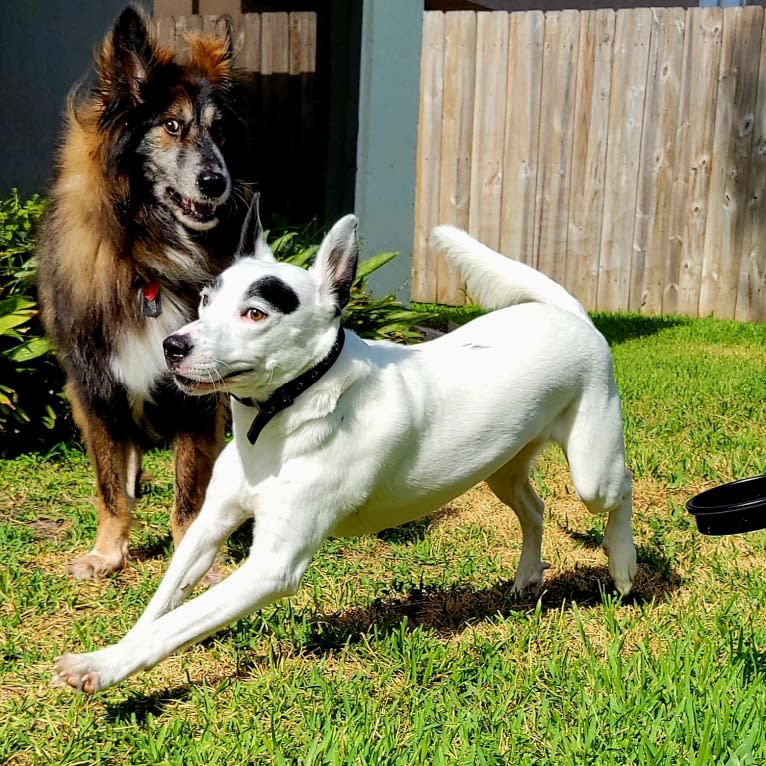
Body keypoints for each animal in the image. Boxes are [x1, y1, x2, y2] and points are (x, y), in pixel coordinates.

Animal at [38, 6, 249, 580]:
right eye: (172, 126)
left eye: (219, 133)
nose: (217, 181)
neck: (146, 256)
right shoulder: (94, 386)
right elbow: (109, 484)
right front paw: (108, 551)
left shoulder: (198, 397)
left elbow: (189, 492)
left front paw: (193, 557)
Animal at [54, 201, 640, 692]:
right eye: (204, 299)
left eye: (256, 313)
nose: (173, 346)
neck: (282, 415)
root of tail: (568, 314)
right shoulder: (209, 525)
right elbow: (162, 605)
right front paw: (113, 653)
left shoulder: (273, 565)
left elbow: (175, 624)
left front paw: (101, 669)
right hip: (502, 464)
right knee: (534, 509)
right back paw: (526, 577)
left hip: (593, 470)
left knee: (618, 491)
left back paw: (624, 566)